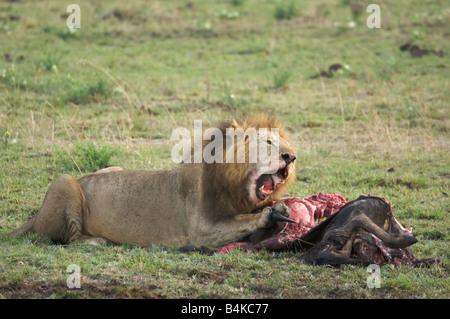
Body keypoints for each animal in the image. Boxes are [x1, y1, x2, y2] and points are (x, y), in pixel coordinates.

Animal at [8, 116, 298, 249]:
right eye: (269, 142)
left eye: (286, 143)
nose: (291, 157)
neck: (235, 187)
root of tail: (35, 216)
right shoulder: (200, 229)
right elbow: (242, 221)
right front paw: (269, 214)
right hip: (65, 180)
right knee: (69, 237)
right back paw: (96, 241)